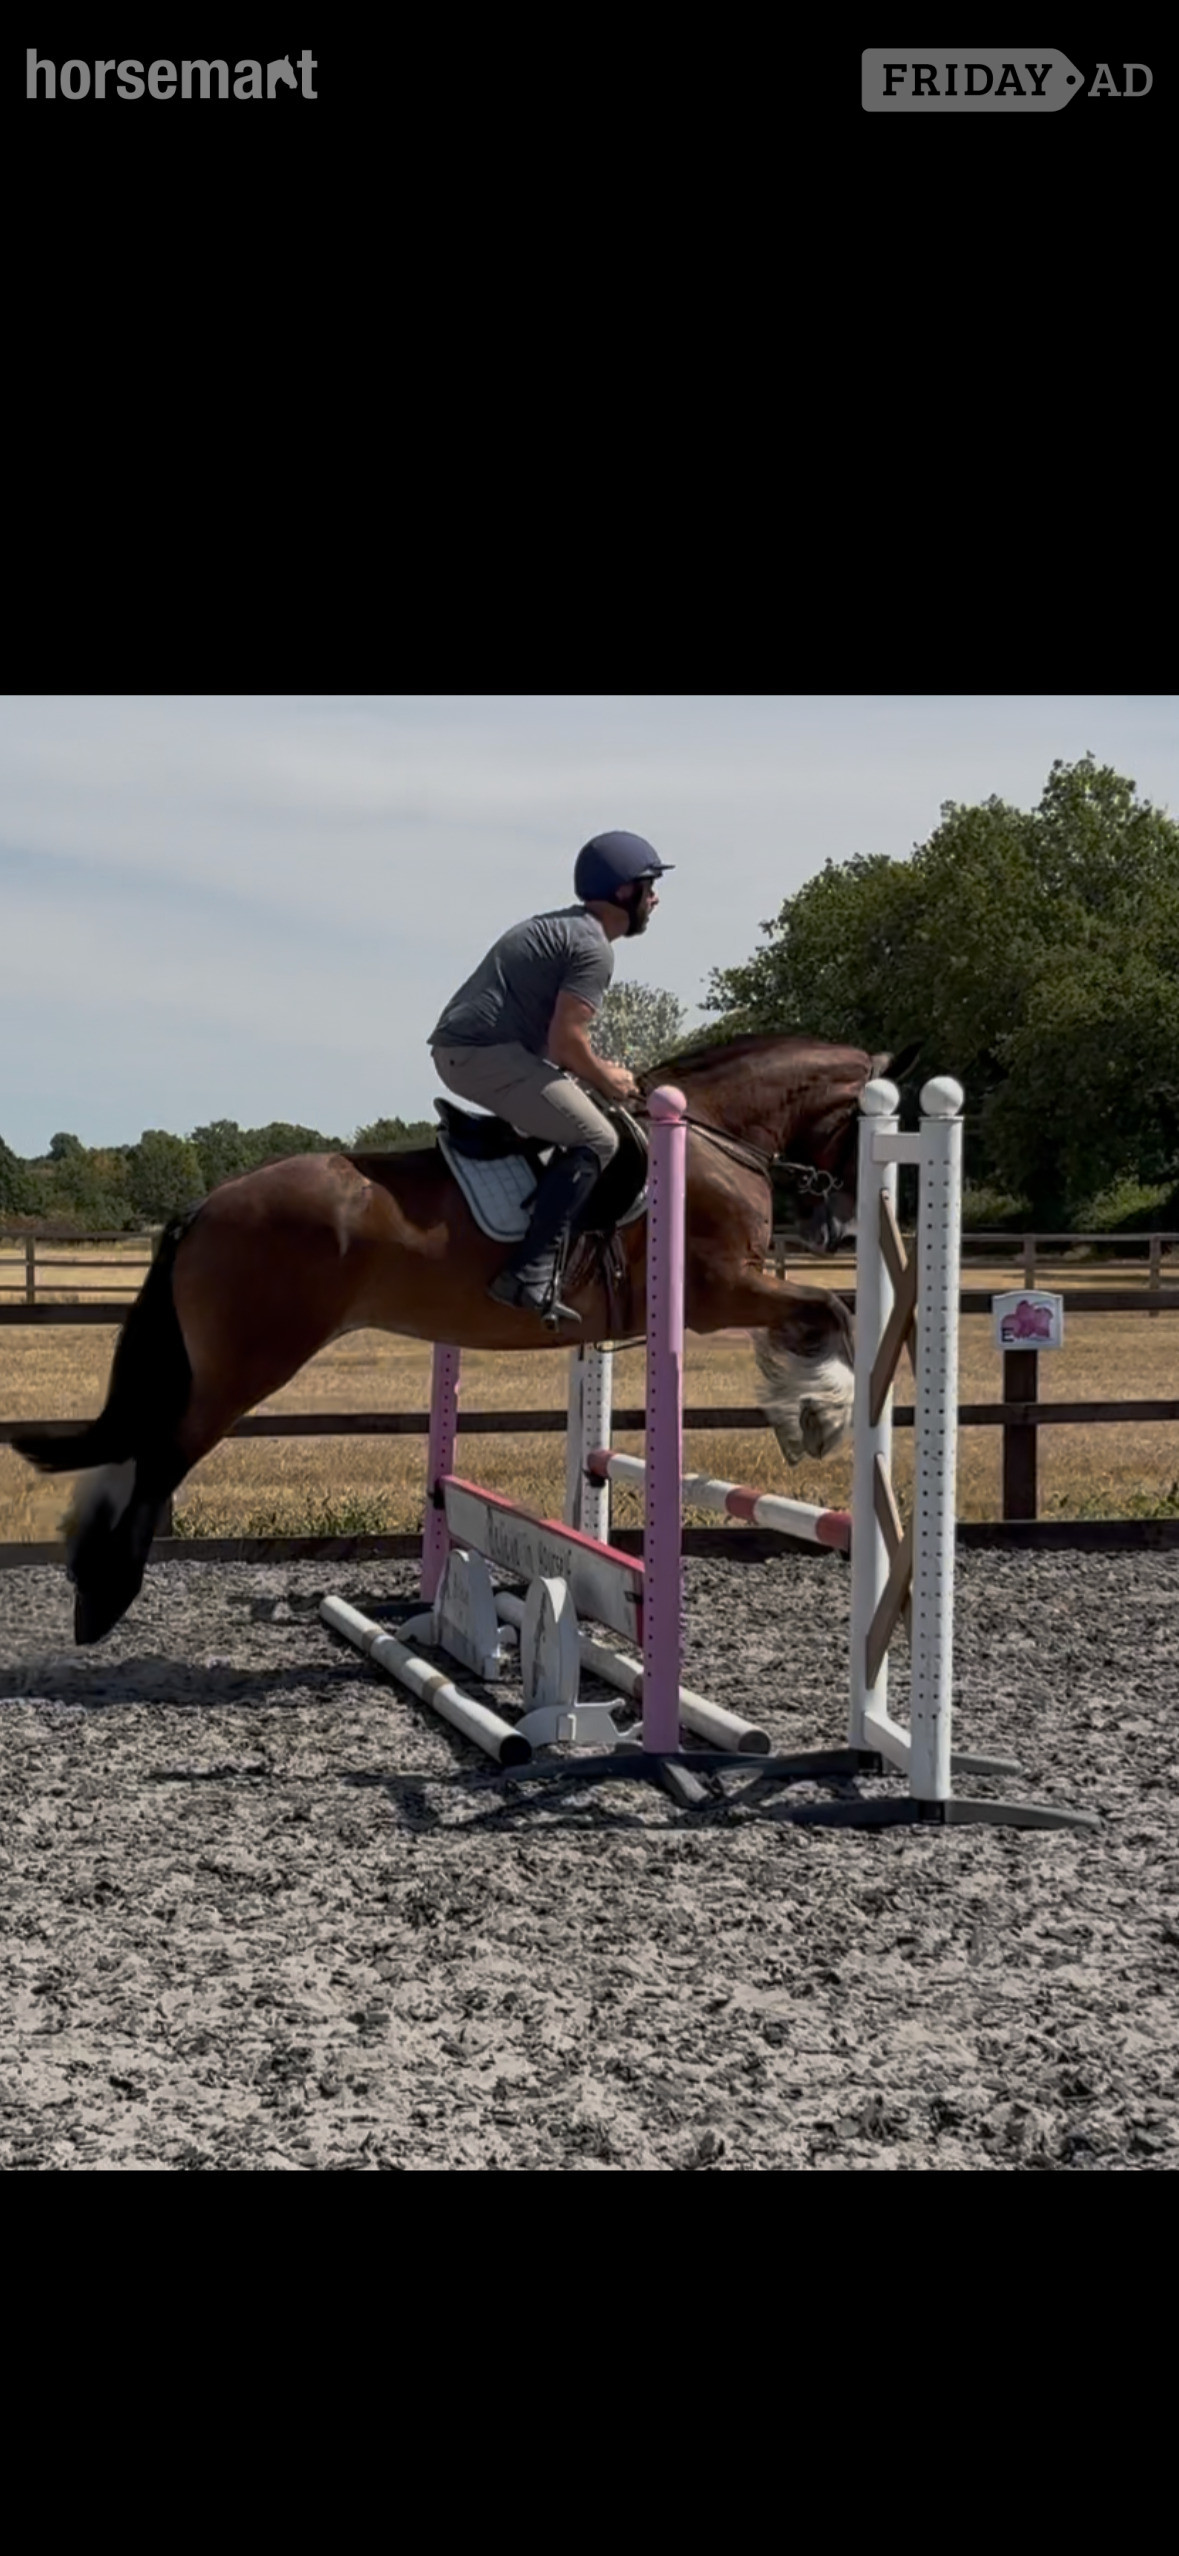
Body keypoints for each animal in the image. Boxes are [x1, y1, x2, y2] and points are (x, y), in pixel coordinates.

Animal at [15, 1032, 916, 1645]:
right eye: (868, 1126)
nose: (838, 1230)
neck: (712, 1137)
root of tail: (206, 1204)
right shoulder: (719, 1292)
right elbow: (830, 1313)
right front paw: (819, 1415)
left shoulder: (730, 1291)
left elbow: (815, 1314)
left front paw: (800, 1405)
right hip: (247, 1363)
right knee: (164, 1452)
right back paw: (103, 1599)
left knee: (142, 1443)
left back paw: (87, 1573)